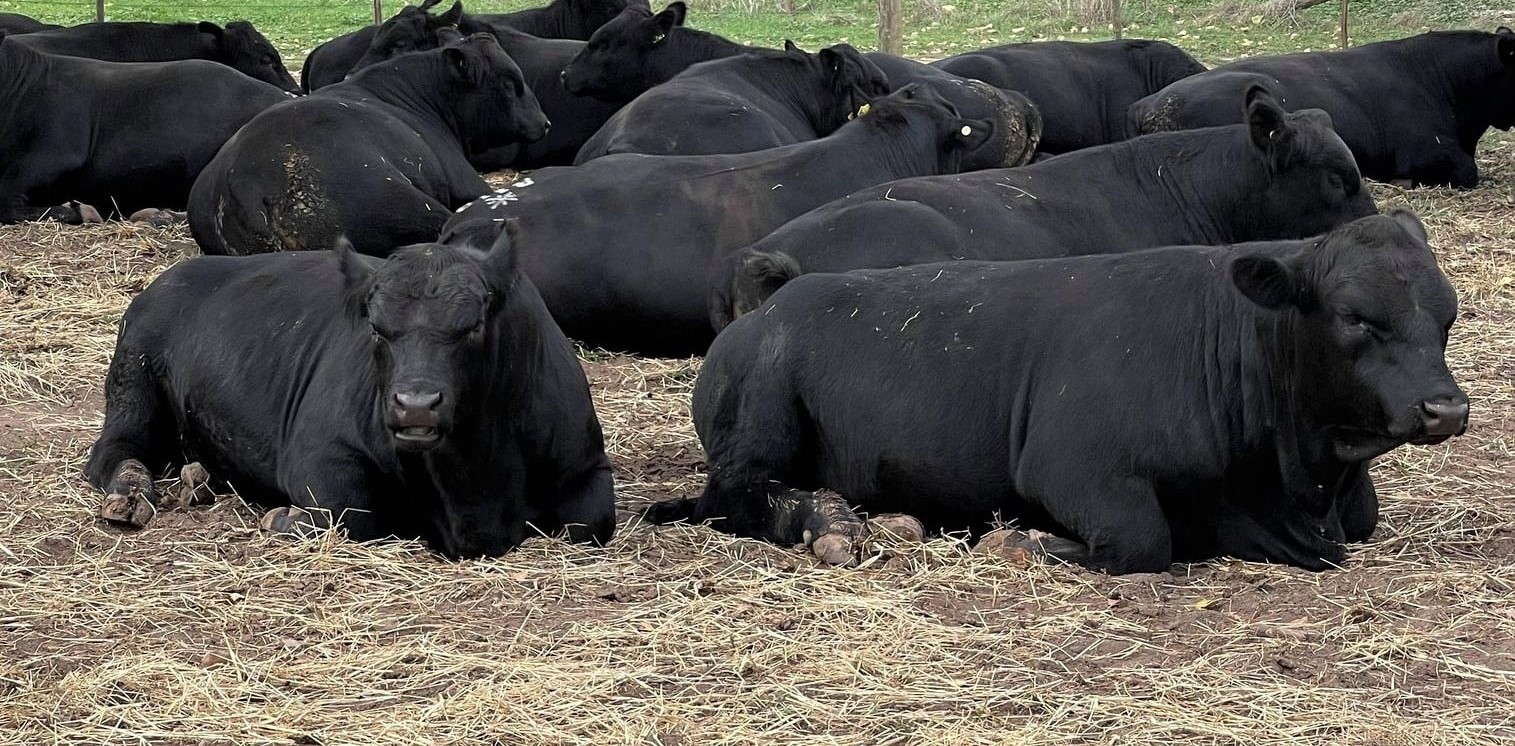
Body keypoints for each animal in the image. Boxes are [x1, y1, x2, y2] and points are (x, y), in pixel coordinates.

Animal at [86, 235, 615, 559]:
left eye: (473, 326)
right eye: (377, 329)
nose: (416, 404)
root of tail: (175, 276)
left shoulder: (587, 464)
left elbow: (591, 523)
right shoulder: (320, 456)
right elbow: (348, 512)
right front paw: (279, 518)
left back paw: (197, 480)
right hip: (134, 381)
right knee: (115, 451)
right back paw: (130, 495)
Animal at [650, 212, 1468, 574]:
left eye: (1448, 313)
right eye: (1355, 316)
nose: (1446, 407)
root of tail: (772, 300)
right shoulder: (1073, 467)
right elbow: (1143, 538)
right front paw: (1019, 539)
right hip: (757, 427)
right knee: (743, 495)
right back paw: (831, 526)